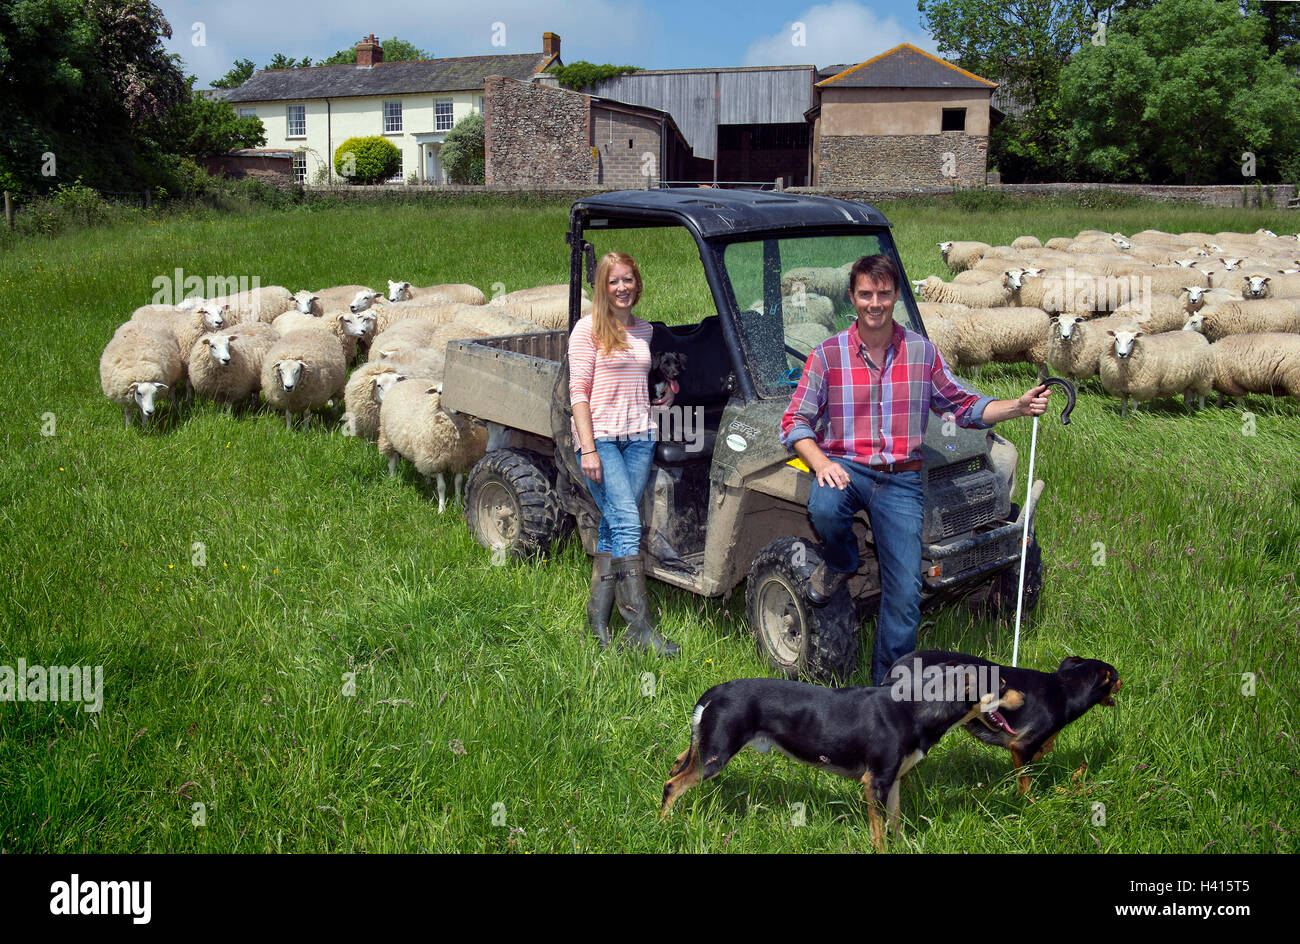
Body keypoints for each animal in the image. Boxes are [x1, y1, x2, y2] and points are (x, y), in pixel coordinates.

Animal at [382, 384, 493, 514]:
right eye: (440, 392)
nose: (457, 410)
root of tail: (405, 381)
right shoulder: (437, 460)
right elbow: (441, 487)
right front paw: (441, 510)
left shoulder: (460, 459)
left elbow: (458, 483)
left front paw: (457, 506)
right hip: (387, 437)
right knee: (392, 462)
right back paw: (392, 479)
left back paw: (427, 481)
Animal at [665, 670, 1019, 852]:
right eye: (1001, 685)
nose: (1024, 696)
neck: (918, 708)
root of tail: (715, 691)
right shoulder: (874, 782)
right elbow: (879, 833)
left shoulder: (892, 781)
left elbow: (895, 822)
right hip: (715, 756)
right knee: (672, 786)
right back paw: (664, 823)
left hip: (704, 749)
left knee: (677, 764)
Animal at [889, 650, 1123, 800]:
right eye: (1116, 677)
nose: (1123, 682)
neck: (1065, 690)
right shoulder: (1022, 746)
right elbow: (1026, 782)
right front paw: (1029, 805)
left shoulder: (1024, 747)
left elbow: (1044, 749)